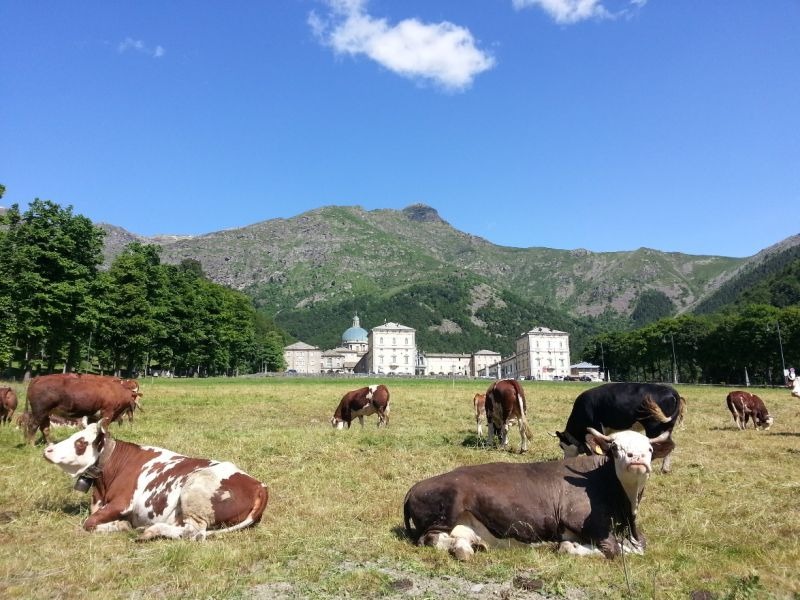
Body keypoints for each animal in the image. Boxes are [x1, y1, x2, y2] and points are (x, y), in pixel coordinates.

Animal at [43, 422, 268, 544]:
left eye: (80, 442)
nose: (48, 449)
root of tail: (259, 485)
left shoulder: (123, 502)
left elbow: (88, 523)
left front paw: (121, 525)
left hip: (194, 492)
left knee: (194, 533)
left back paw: (150, 531)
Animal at [404, 428, 672, 560]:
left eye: (649, 449)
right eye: (615, 448)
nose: (636, 458)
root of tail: (414, 488)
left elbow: (639, 546)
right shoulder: (582, 520)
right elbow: (613, 550)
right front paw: (570, 547)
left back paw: (471, 545)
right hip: (447, 509)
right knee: (429, 539)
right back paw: (463, 550)